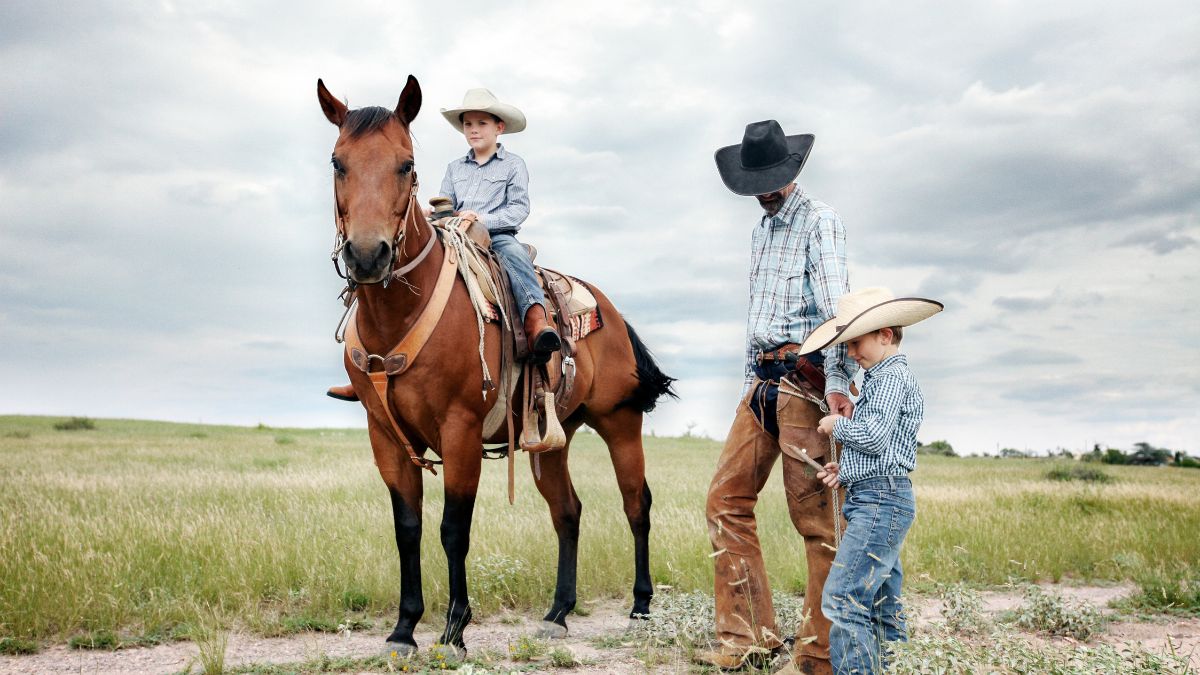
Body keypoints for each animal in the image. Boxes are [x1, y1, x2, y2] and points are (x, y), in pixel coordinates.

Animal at [319, 74, 676, 653]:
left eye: (406, 165)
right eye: (338, 162)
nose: (368, 255)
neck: (402, 314)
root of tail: (612, 312)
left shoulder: (460, 429)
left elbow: (453, 529)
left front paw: (454, 629)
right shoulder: (385, 436)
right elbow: (408, 528)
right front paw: (404, 628)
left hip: (620, 423)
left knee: (636, 504)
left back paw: (641, 606)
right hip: (552, 437)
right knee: (567, 511)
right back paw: (558, 613)